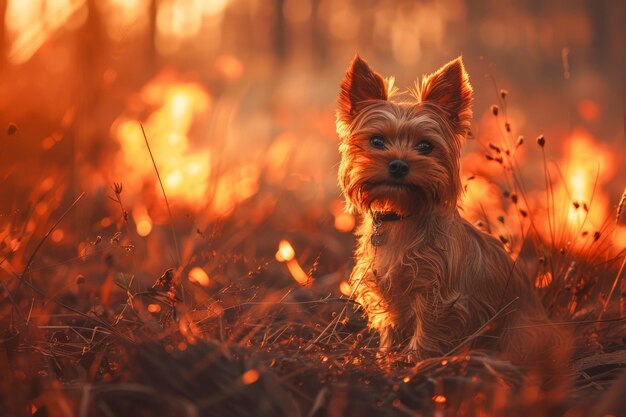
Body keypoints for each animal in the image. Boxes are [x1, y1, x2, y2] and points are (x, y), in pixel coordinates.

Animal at [336, 56, 564, 364]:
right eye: (376, 141)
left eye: (425, 146)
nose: (398, 164)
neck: (402, 218)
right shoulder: (388, 290)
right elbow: (392, 328)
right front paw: (385, 358)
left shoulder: (439, 297)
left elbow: (427, 331)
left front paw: (414, 361)